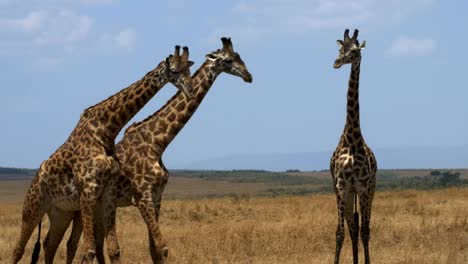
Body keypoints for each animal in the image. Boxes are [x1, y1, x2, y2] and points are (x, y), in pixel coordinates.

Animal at [11, 46, 194, 264]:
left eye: (188, 70)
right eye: (174, 70)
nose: (190, 90)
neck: (106, 130)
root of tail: (36, 177)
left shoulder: (108, 191)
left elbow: (113, 249)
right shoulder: (89, 190)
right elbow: (88, 250)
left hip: (60, 212)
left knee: (49, 244)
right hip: (33, 207)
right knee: (19, 249)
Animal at [47, 36, 252, 264]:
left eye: (239, 56)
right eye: (228, 60)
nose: (248, 76)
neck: (158, 142)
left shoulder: (156, 198)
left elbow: (154, 249)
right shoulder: (143, 197)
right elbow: (161, 247)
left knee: (87, 243)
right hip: (79, 208)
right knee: (71, 243)